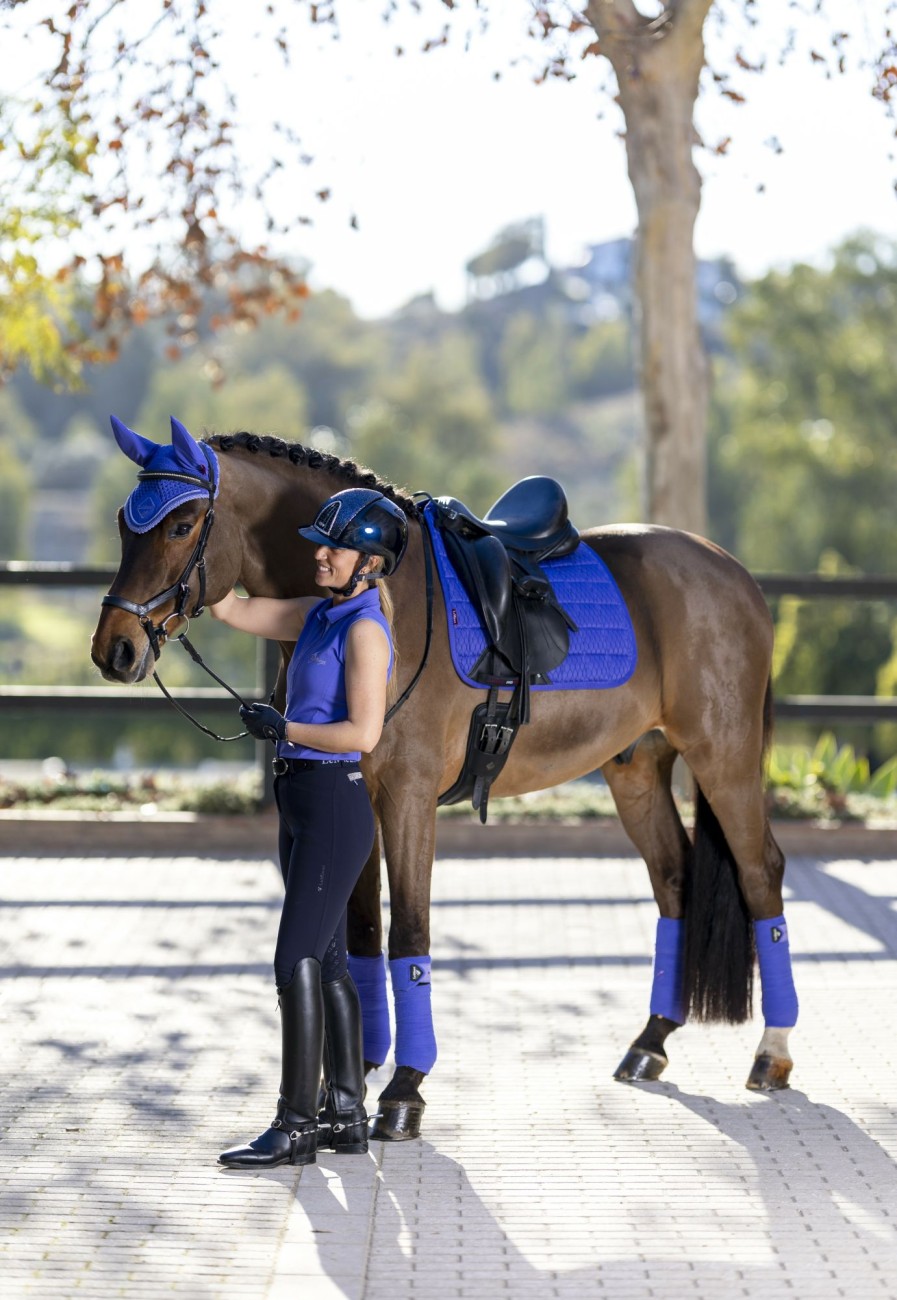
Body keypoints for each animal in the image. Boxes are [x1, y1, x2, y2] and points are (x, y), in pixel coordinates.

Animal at [91, 426, 795, 1138]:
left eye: (182, 524)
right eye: (124, 524)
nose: (113, 650)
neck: (383, 605)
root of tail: (732, 571)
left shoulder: (407, 797)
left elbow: (409, 934)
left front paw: (405, 1089)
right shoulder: (360, 799)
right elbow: (363, 936)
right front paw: (356, 1077)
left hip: (723, 756)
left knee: (761, 873)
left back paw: (772, 1054)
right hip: (637, 769)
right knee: (674, 877)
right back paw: (650, 1041)